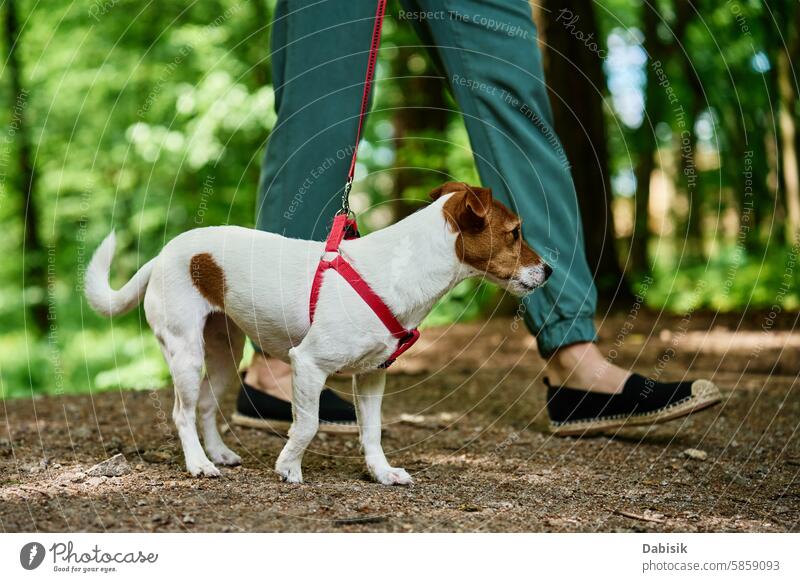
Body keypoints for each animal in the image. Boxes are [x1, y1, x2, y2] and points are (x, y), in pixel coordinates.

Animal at [86, 182, 552, 484]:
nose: (549, 270)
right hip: (186, 351)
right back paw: (199, 464)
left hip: (223, 354)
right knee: (182, 412)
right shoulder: (307, 365)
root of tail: (162, 255)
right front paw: (288, 468)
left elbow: (372, 430)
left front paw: (381, 473)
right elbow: (307, 424)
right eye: (515, 233)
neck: (405, 270)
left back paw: (216, 452)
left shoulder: (372, 376)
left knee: (203, 405)